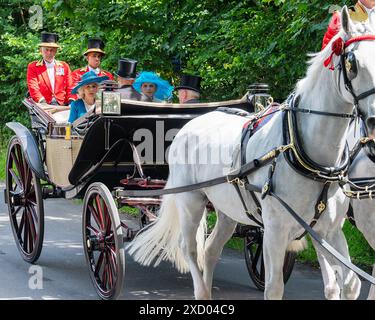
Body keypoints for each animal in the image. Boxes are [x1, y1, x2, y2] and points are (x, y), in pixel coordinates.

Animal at [128, 6, 375, 298]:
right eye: (352, 63)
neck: (307, 155)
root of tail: (191, 123)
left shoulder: (329, 231)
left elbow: (350, 283)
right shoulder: (275, 231)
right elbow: (274, 286)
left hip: (227, 210)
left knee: (210, 251)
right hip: (190, 201)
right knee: (190, 250)